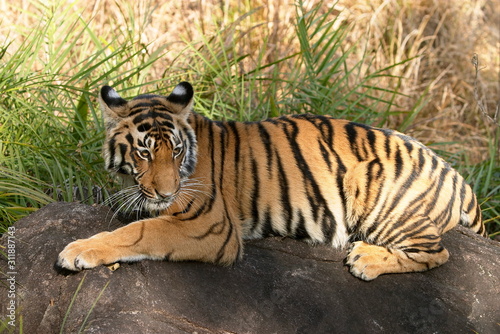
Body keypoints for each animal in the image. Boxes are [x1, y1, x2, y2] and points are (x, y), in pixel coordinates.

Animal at [56, 81, 486, 280]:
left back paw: (366, 258)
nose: (167, 191)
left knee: (437, 254)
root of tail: (457, 175)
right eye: (144, 153)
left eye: (175, 151)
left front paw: (77, 251)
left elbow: (140, 232)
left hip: (381, 199)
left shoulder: (210, 225)